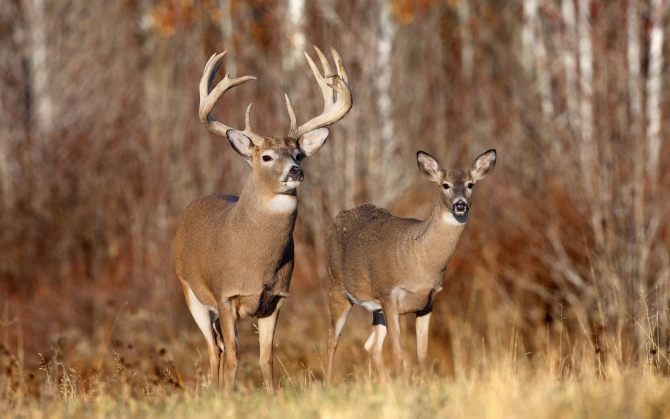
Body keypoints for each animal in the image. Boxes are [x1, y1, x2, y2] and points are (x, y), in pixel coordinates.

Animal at [177, 47, 356, 392]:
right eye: (266, 156)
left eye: (298, 155)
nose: (296, 172)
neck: (257, 262)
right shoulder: (226, 295)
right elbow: (235, 358)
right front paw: (229, 396)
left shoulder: (275, 300)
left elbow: (266, 358)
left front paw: (271, 395)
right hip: (190, 291)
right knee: (214, 349)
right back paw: (215, 391)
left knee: (218, 347)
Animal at [328, 149, 496, 382]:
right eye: (445, 185)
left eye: (470, 184)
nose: (460, 205)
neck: (420, 262)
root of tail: (337, 218)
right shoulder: (389, 294)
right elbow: (399, 351)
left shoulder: (428, 302)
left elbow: (422, 351)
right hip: (337, 287)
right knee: (332, 339)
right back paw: (326, 382)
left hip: (376, 307)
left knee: (372, 345)